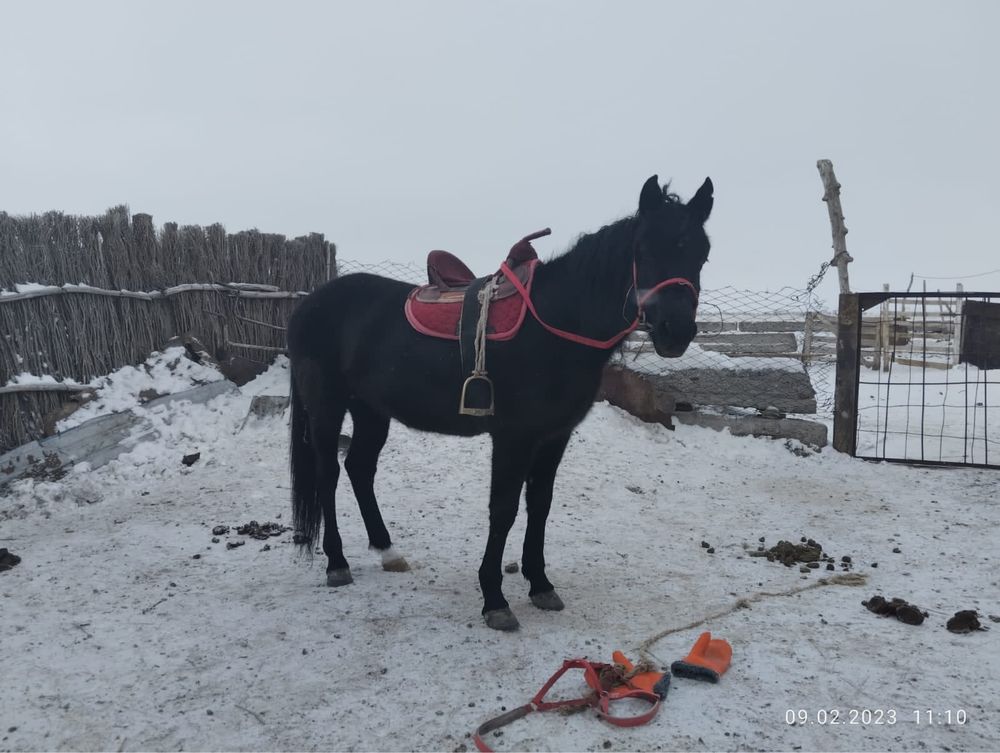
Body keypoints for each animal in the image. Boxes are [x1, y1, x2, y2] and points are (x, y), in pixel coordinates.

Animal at [286, 176, 716, 628]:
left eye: (702, 253)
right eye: (643, 249)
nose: (675, 331)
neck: (555, 325)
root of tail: (309, 304)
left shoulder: (554, 436)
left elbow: (539, 505)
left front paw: (540, 584)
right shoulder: (513, 437)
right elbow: (504, 509)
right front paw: (494, 598)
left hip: (372, 410)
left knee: (359, 469)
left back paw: (388, 551)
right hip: (327, 406)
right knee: (329, 473)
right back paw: (337, 562)